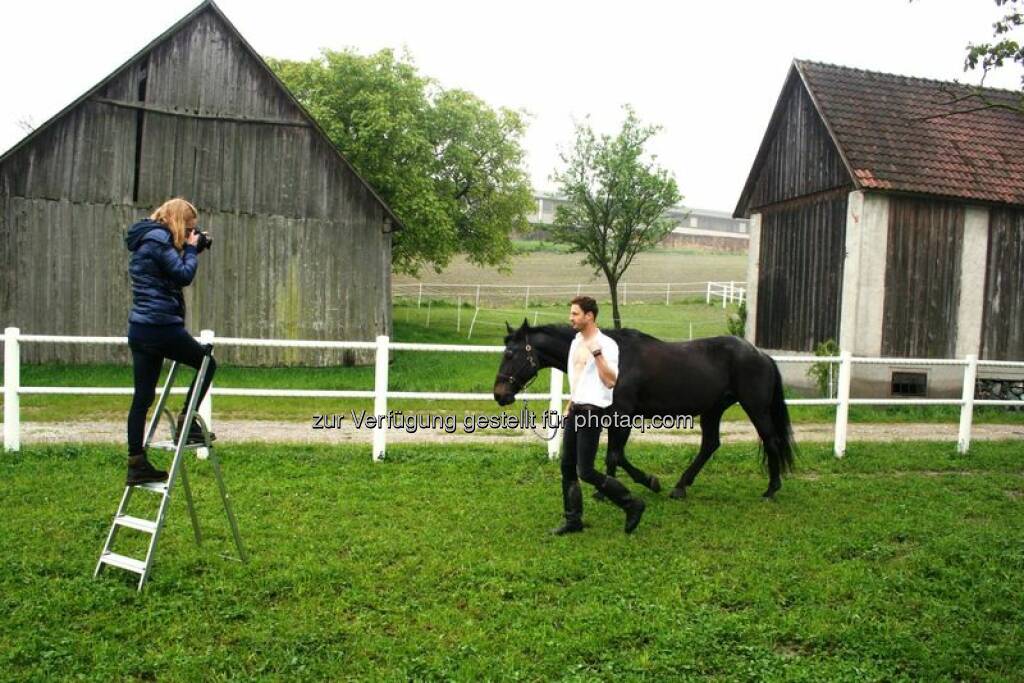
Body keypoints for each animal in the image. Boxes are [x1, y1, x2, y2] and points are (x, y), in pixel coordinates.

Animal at [491, 323, 794, 499]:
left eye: (510, 354)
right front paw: (606, 492)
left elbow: (616, 455)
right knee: (710, 445)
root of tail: (761, 355)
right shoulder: (610, 417)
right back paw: (681, 487)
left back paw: (771, 489)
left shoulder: (623, 415)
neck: (610, 361)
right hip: (712, 410)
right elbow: (613, 455)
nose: (499, 394)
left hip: (755, 407)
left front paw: (649, 482)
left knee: (771, 440)